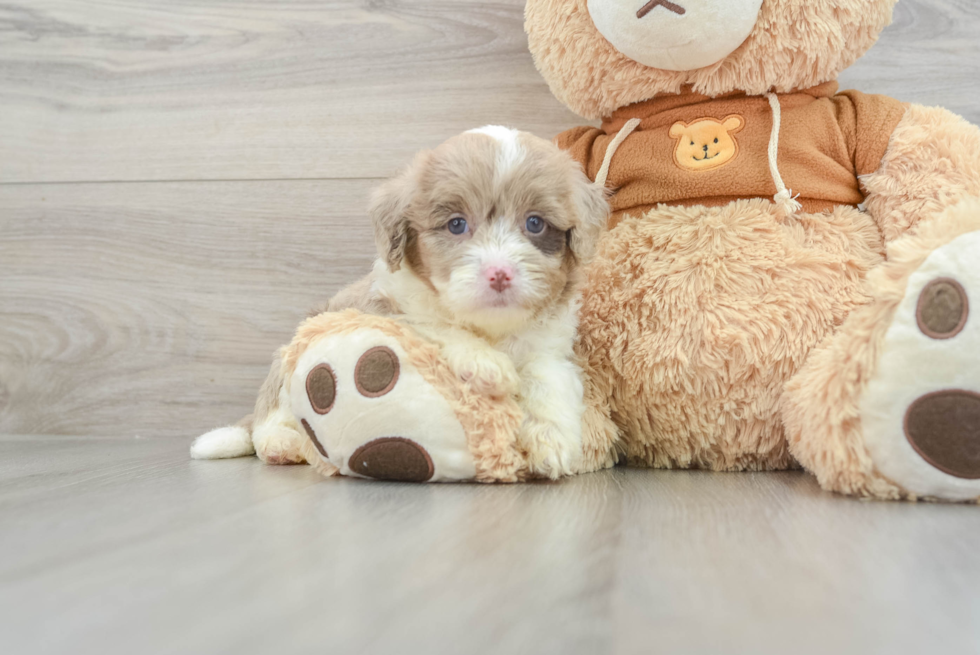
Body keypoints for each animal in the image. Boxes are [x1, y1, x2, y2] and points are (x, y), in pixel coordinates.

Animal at [192, 125, 608, 480]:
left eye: (535, 224)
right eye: (456, 224)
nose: (500, 273)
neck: (489, 327)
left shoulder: (548, 345)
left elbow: (548, 379)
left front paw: (553, 442)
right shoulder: (391, 308)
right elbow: (437, 326)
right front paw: (485, 363)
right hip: (286, 364)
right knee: (270, 416)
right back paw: (282, 442)